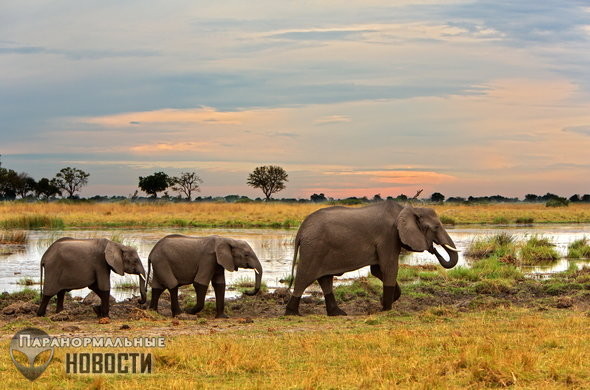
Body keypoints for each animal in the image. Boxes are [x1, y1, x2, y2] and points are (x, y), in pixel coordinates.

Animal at [288, 201, 462, 316]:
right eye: (436, 227)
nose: (433, 249)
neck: (406, 209)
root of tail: (301, 230)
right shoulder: (389, 236)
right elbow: (389, 268)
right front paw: (386, 309)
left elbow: (378, 270)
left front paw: (382, 301)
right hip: (314, 248)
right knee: (304, 277)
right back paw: (292, 313)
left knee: (325, 279)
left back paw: (338, 313)